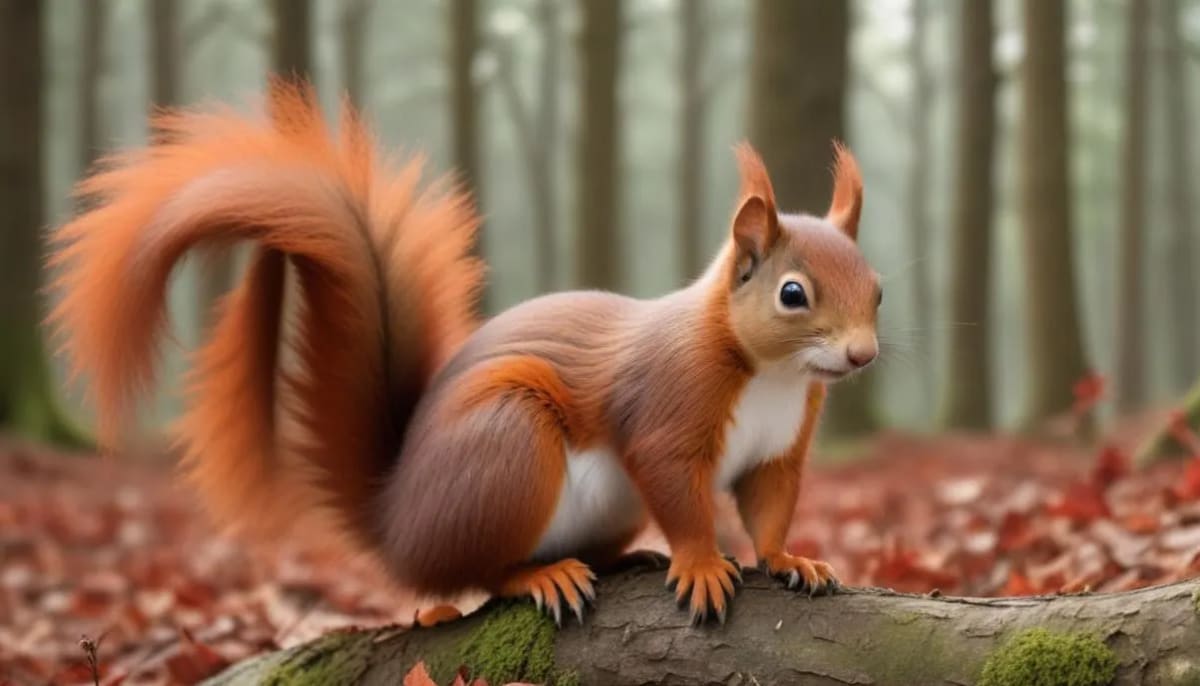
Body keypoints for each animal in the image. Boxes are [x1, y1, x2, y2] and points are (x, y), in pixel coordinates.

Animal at [48, 83, 880, 626]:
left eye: (877, 290)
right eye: (793, 295)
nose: (864, 356)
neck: (773, 376)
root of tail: (396, 522)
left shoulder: (779, 450)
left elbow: (769, 507)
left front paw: (790, 560)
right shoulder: (669, 410)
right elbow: (677, 487)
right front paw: (703, 564)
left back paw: (624, 560)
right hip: (508, 448)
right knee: (476, 576)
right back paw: (542, 576)